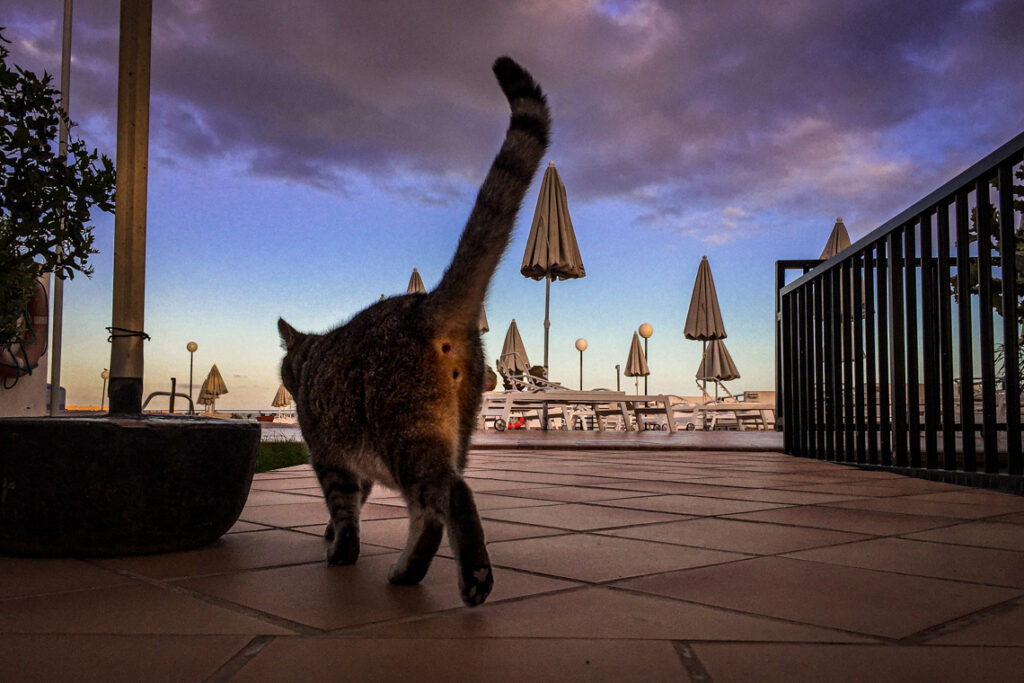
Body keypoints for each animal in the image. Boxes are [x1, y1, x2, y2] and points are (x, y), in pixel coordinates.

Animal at [278, 56, 552, 606]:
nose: (288, 378)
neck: (314, 354)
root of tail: (424, 306)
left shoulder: (329, 457)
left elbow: (344, 509)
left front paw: (340, 550)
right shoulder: (355, 469)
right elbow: (352, 506)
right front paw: (331, 535)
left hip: (404, 435)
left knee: (443, 499)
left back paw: (464, 575)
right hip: (455, 431)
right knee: (433, 508)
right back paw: (412, 571)